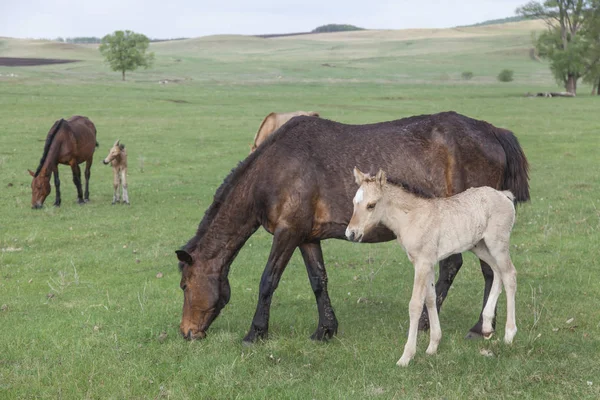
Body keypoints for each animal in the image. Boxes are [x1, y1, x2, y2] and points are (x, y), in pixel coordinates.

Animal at [175, 111, 528, 344]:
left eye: (183, 285)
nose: (187, 332)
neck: (274, 170)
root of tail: (492, 131)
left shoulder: (287, 233)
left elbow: (268, 281)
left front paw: (255, 332)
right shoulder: (306, 237)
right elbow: (319, 281)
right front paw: (325, 330)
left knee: (477, 270)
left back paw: (454, 324)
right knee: (477, 269)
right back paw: (477, 325)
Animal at [346, 167, 516, 368]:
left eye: (371, 205)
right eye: (354, 202)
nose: (351, 233)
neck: (411, 218)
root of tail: (503, 195)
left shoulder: (423, 263)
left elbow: (415, 304)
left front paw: (406, 356)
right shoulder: (426, 263)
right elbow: (430, 298)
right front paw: (433, 346)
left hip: (497, 244)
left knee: (509, 275)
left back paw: (509, 335)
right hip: (480, 246)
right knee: (498, 272)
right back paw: (487, 327)